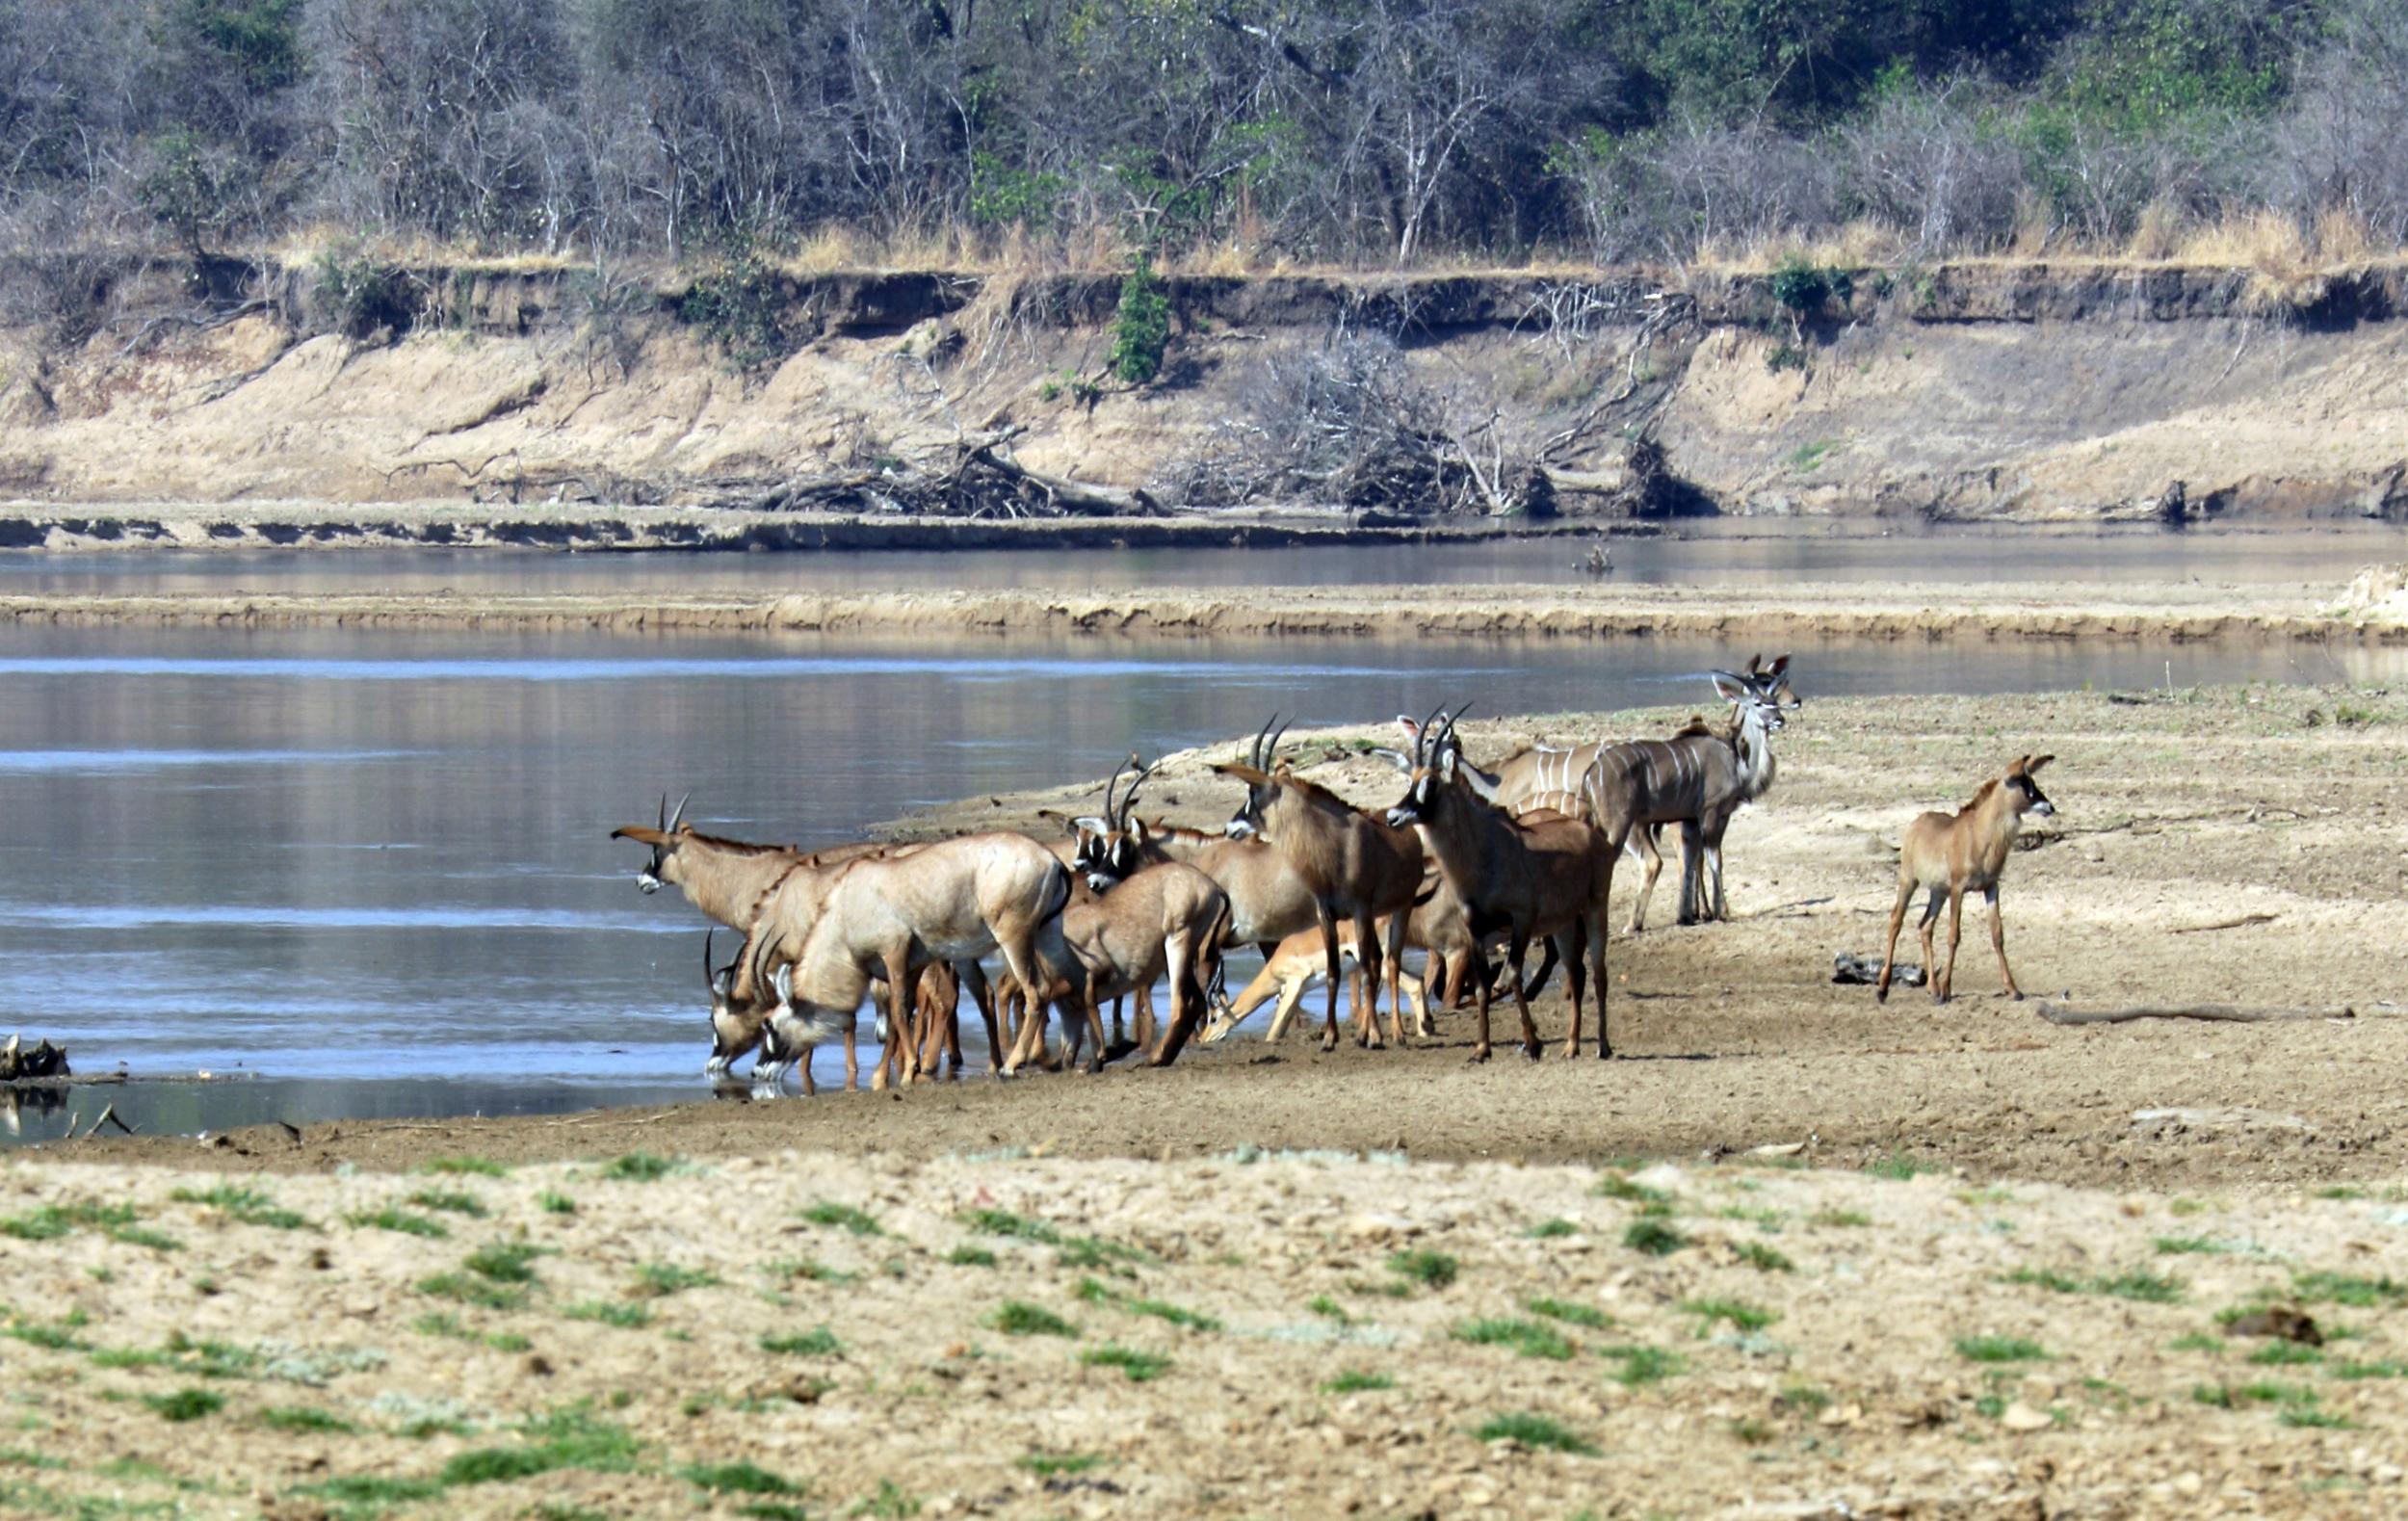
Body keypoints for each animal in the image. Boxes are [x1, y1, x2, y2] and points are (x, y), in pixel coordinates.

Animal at [1214, 717, 1416, 1049]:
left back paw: (1394, 1033)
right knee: (1376, 962)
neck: (1336, 848)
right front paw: (1331, 1038)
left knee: (1389, 964)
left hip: (1400, 908)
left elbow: (1365, 971)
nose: (1230, 828)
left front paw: (1376, 1036)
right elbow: (1334, 970)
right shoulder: (1326, 914)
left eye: (1254, 793)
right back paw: (1363, 1033)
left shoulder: (1360, 910)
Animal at [1869, 755, 2061, 1006]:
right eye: (2021, 782)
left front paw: (2013, 989)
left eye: (2033, 781)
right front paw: (1947, 990)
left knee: (1925, 926)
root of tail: (1916, 823)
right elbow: (1954, 936)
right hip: (1909, 880)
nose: (2049, 807)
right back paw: (1884, 989)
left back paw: (1932, 989)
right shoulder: (1958, 889)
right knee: (1895, 921)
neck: (1980, 836)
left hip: (1938, 893)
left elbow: (1997, 934)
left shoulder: (1991, 887)